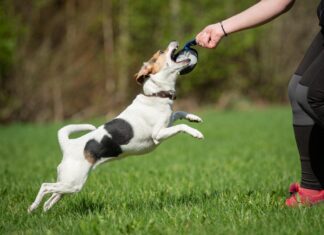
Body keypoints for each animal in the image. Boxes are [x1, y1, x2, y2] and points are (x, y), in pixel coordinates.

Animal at [28, 40, 205, 213]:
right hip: (73, 182)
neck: (156, 95)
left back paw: (44, 211)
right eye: (161, 52)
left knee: (51, 198)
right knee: (44, 186)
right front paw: (196, 132)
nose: (174, 42)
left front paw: (194, 118)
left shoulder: (168, 122)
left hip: (69, 184)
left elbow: (179, 113)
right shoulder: (159, 134)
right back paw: (32, 208)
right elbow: (181, 127)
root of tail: (68, 145)